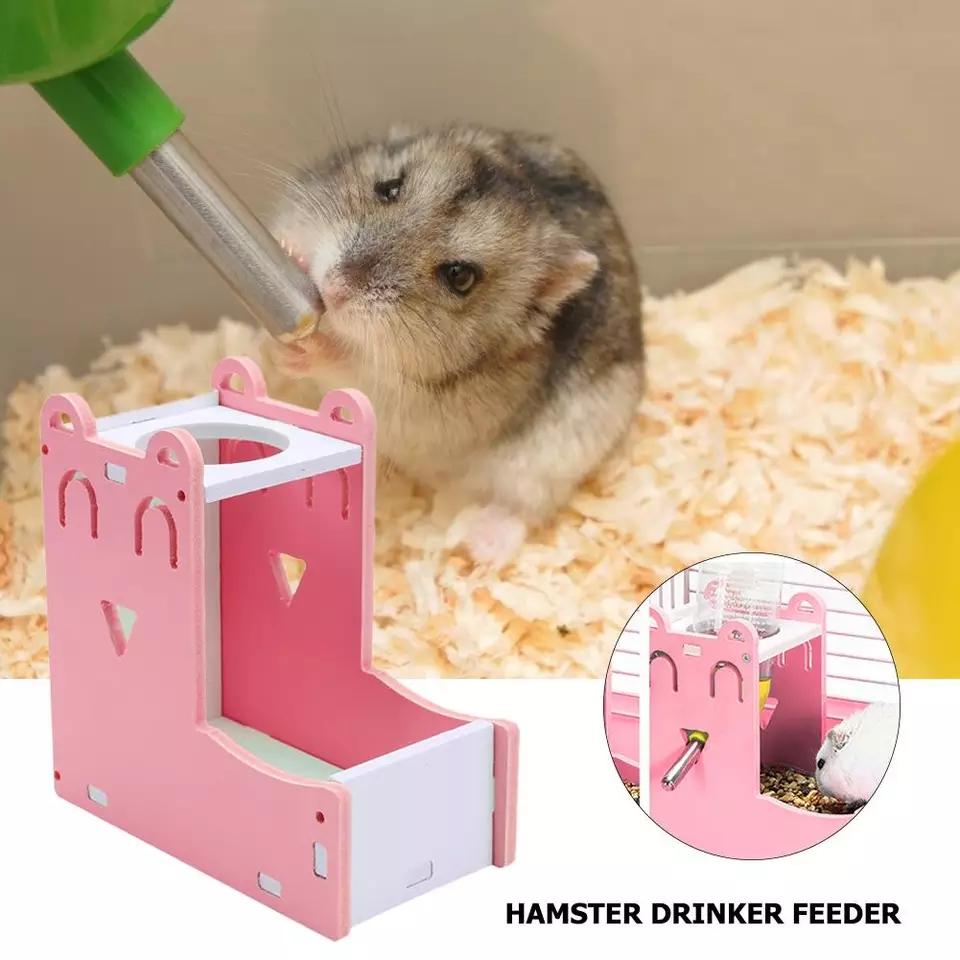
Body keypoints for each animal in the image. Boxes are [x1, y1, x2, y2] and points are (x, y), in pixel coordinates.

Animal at [269, 124, 644, 564]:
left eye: (460, 276)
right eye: (389, 188)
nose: (333, 288)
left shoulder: (416, 406)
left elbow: (354, 368)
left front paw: (309, 349)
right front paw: (290, 251)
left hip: (551, 463)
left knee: (525, 508)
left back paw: (479, 546)